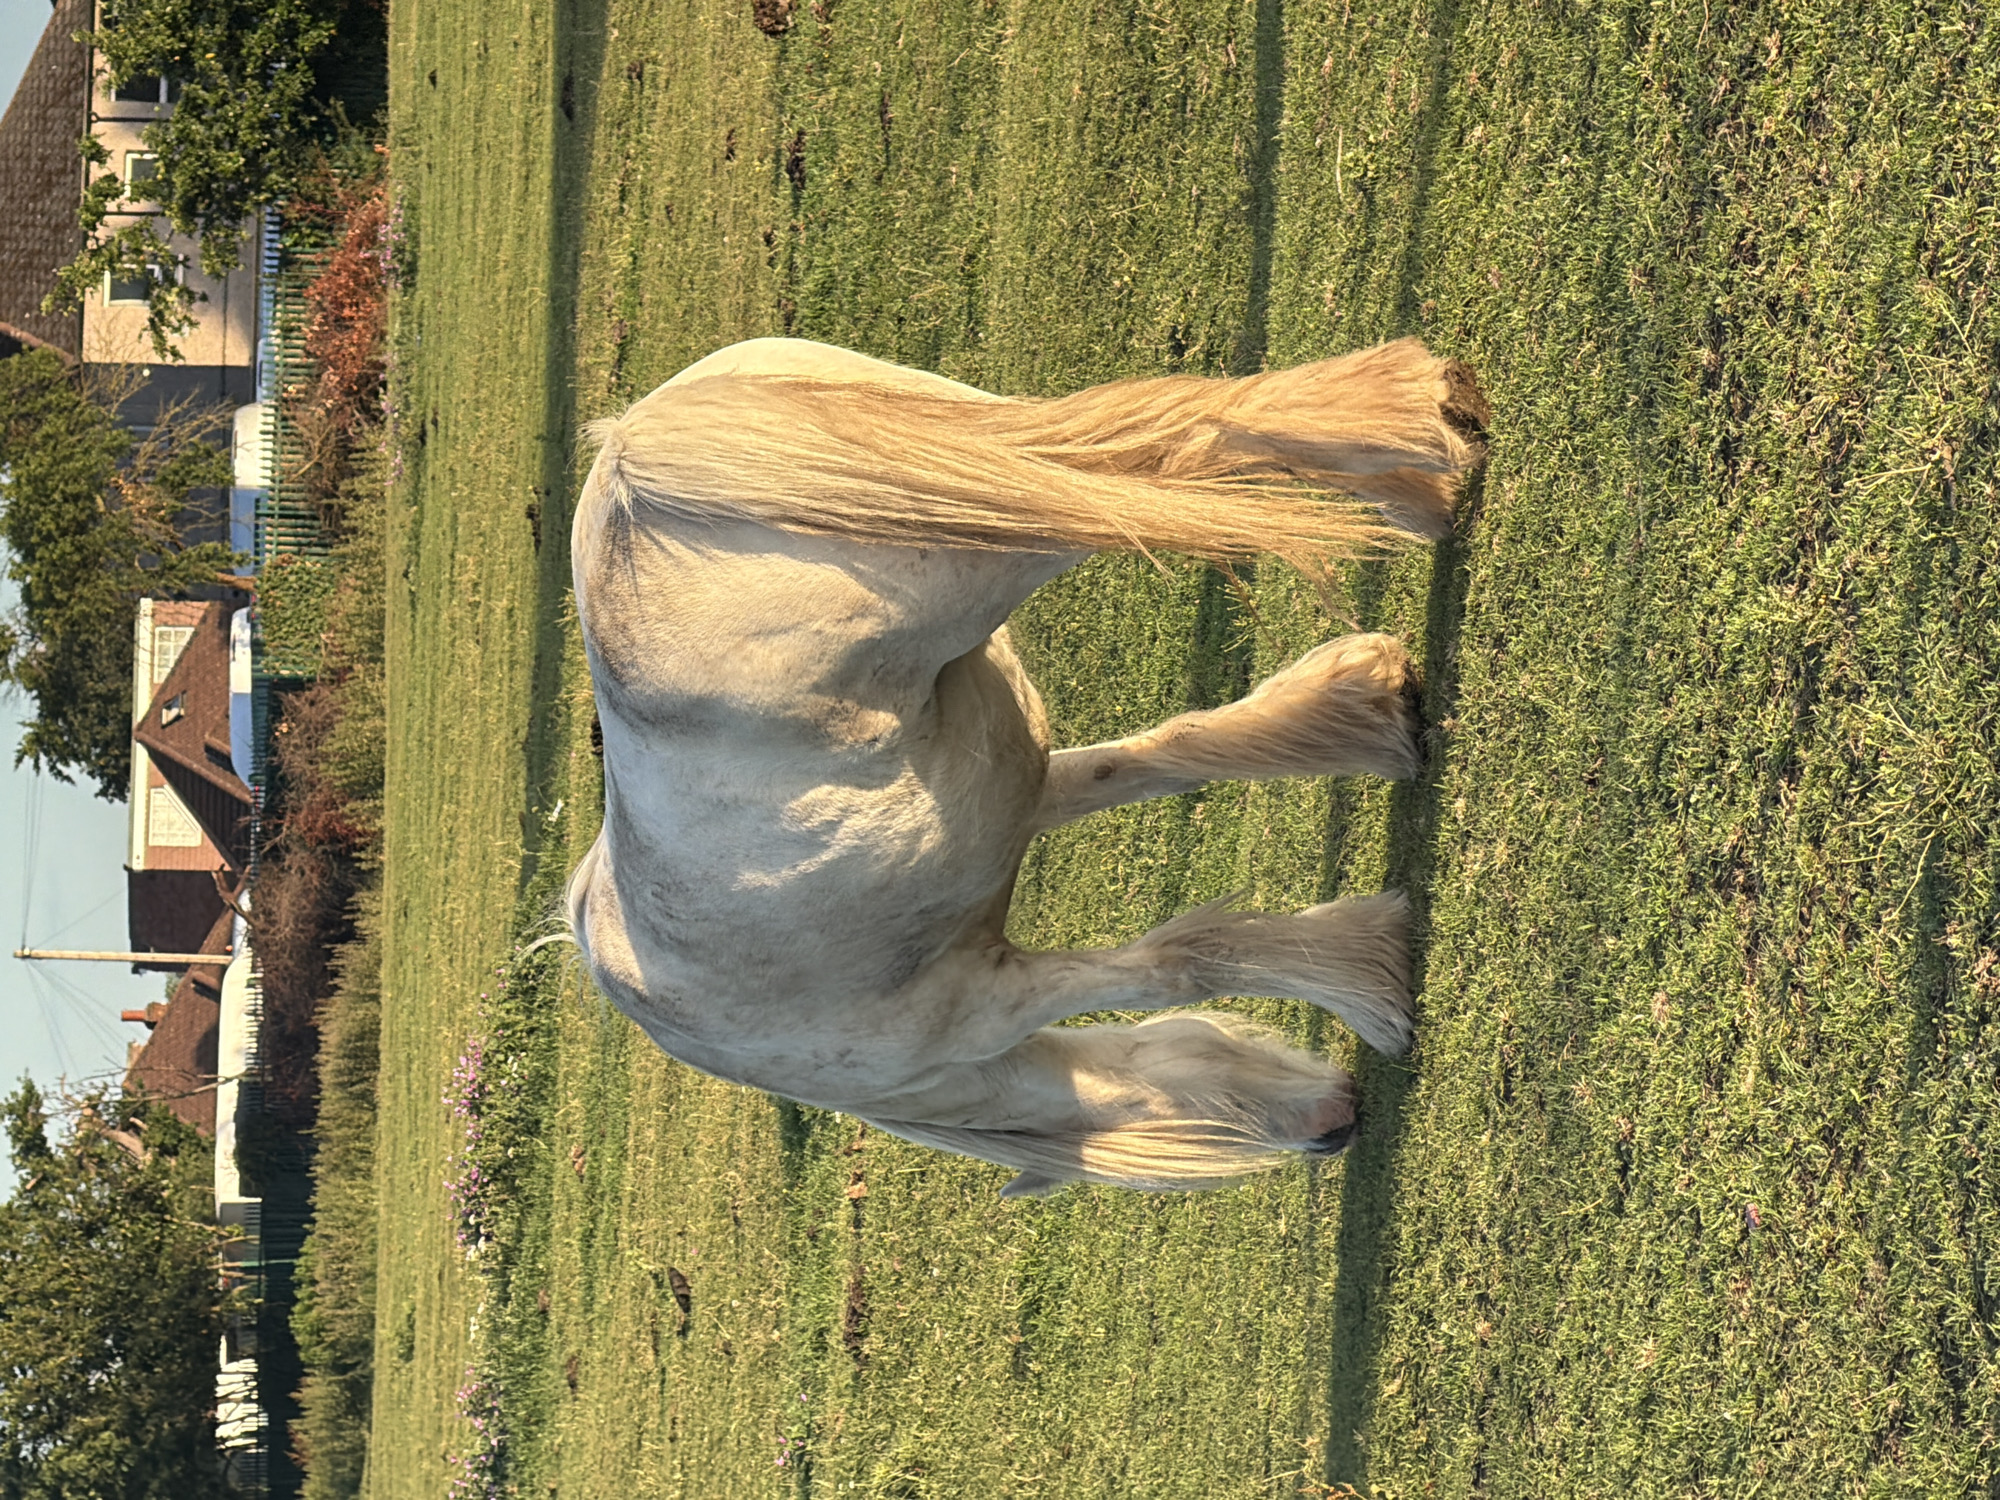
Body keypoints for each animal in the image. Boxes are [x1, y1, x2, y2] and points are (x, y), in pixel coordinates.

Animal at [564, 336, 1487, 1195]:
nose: (1335, 1127)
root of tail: (628, 457)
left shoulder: (991, 996)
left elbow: (1175, 963)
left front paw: (1372, 979)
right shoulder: (1025, 794)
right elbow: (1161, 763)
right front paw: (1371, 713)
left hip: (973, 558)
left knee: (1182, 441)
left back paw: (1429, 448)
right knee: (1171, 434)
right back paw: (1427, 446)